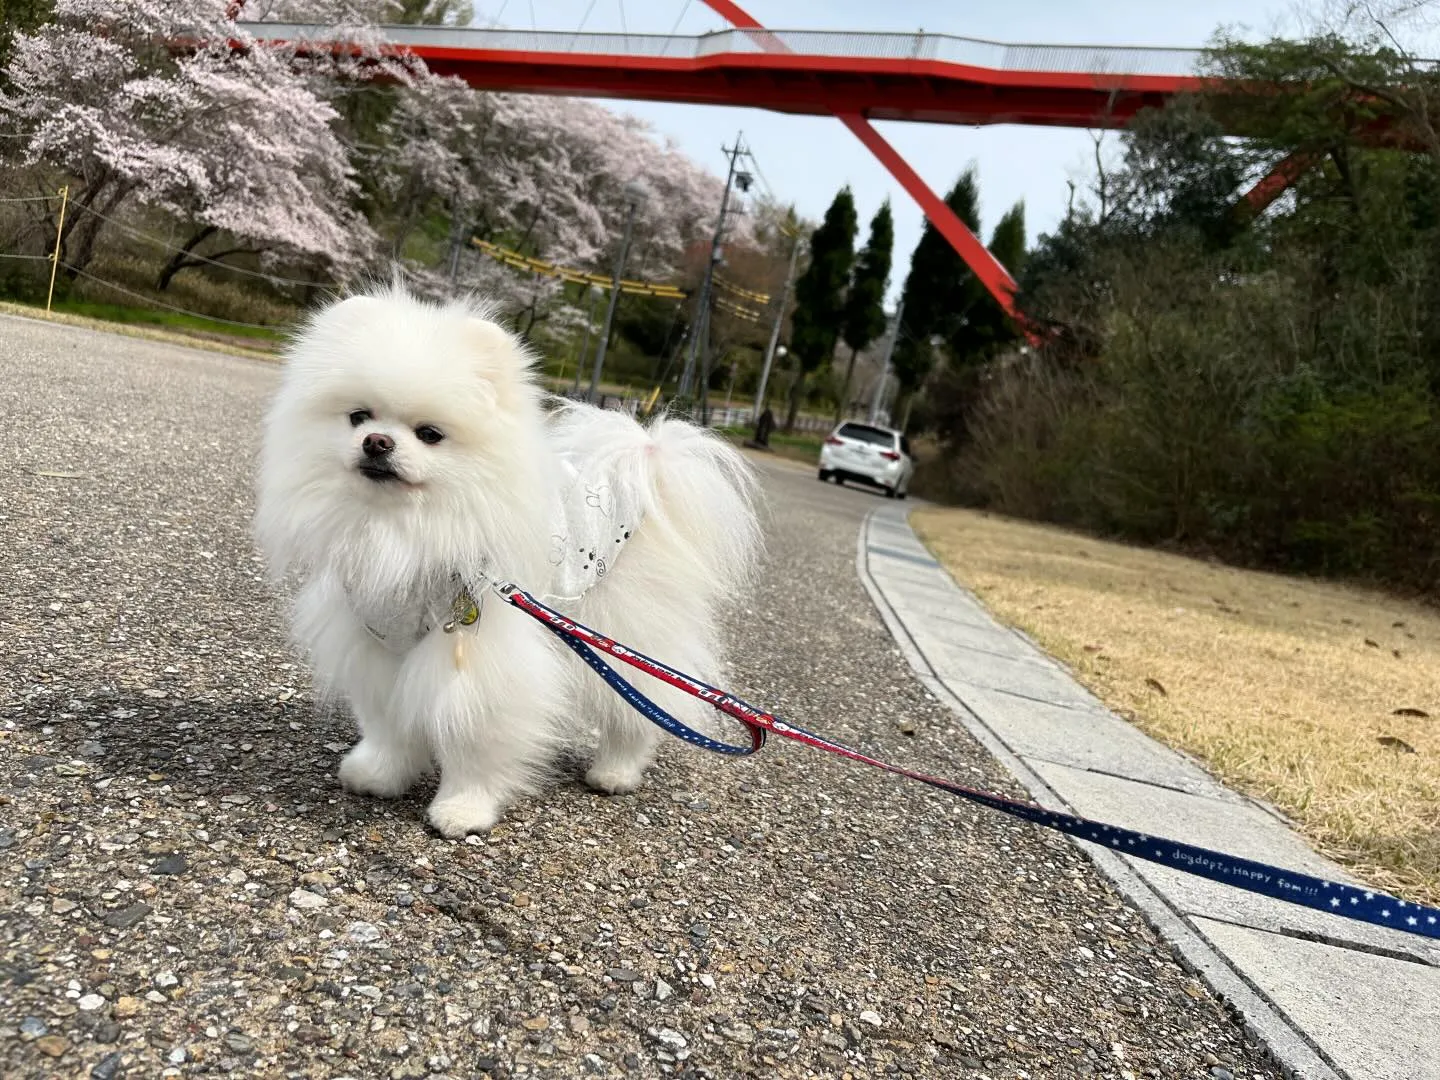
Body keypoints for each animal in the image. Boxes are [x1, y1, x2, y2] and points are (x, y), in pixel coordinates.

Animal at [254, 285, 766, 835]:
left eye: (430, 433)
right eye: (358, 417)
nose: (377, 442)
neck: (404, 528)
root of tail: (637, 474)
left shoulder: (479, 657)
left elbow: (473, 733)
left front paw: (463, 808)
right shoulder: (378, 645)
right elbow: (390, 720)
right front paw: (382, 773)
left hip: (620, 626)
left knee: (639, 705)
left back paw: (616, 770)